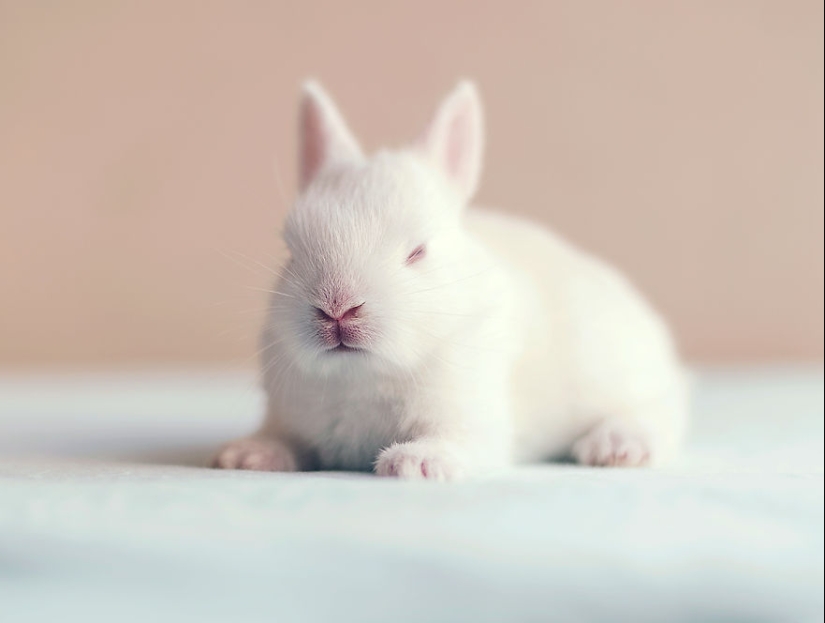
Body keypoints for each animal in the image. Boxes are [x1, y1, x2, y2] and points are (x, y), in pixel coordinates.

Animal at [209, 80, 684, 480]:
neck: (362, 376)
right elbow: (286, 441)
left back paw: (617, 447)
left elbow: (458, 442)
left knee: (663, 413)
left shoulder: (470, 417)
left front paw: (414, 462)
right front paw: (246, 456)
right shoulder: (290, 418)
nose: (337, 309)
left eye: (418, 252)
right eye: (291, 250)